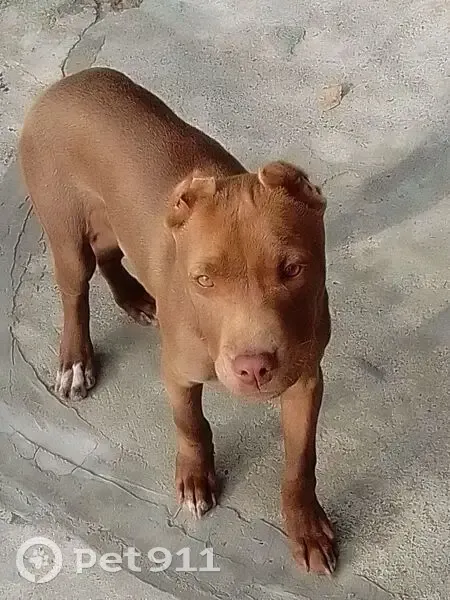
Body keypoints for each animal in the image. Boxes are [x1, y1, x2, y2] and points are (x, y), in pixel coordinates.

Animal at [19, 68, 335, 574]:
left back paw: (134, 299)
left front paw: (305, 528)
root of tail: (67, 83)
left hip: (112, 218)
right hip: (64, 229)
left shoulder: (306, 379)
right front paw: (194, 479)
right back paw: (75, 361)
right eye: (203, 279)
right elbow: (190, 424)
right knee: (75, 292)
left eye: (293, 269)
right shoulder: (178, 370)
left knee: (109, 253)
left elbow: (300, 462)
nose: (254, 367)